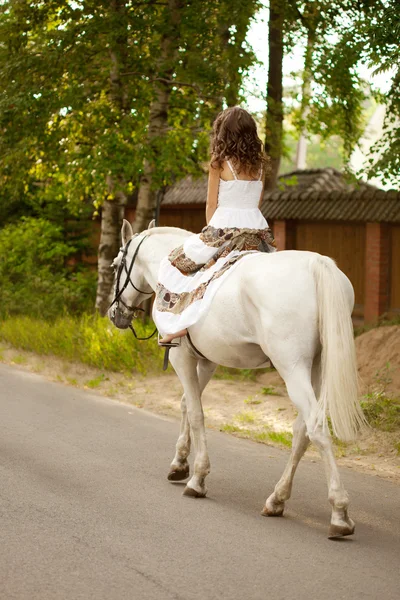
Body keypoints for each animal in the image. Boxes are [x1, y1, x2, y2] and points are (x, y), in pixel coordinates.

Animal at [109, 220, 366, 540]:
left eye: (115, 265)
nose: (114, 314)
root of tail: (316, 264)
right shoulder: (207, 361)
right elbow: (186, 404)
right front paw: (180, 464)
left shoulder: (182, 357)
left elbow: (196, 413)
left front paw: (197, 477)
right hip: (316, 370)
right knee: (301, 431)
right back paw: (277, 499)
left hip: (292, 368)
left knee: (316, 428)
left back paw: (339, 513)